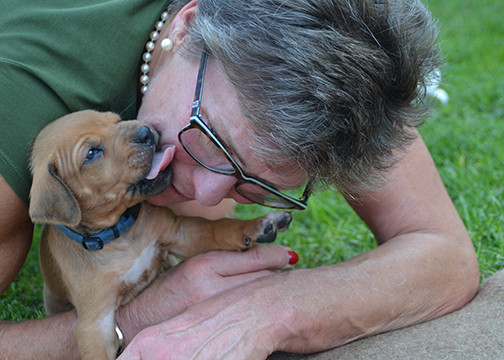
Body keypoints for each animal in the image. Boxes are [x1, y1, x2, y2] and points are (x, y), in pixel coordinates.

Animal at [29, 110, 292, 360]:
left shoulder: (180, 233)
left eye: (116, 119)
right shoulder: (94, 323)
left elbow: (220, 227)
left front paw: (259, 225)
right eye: (91, 153)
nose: (146, 132)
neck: (121, 233)